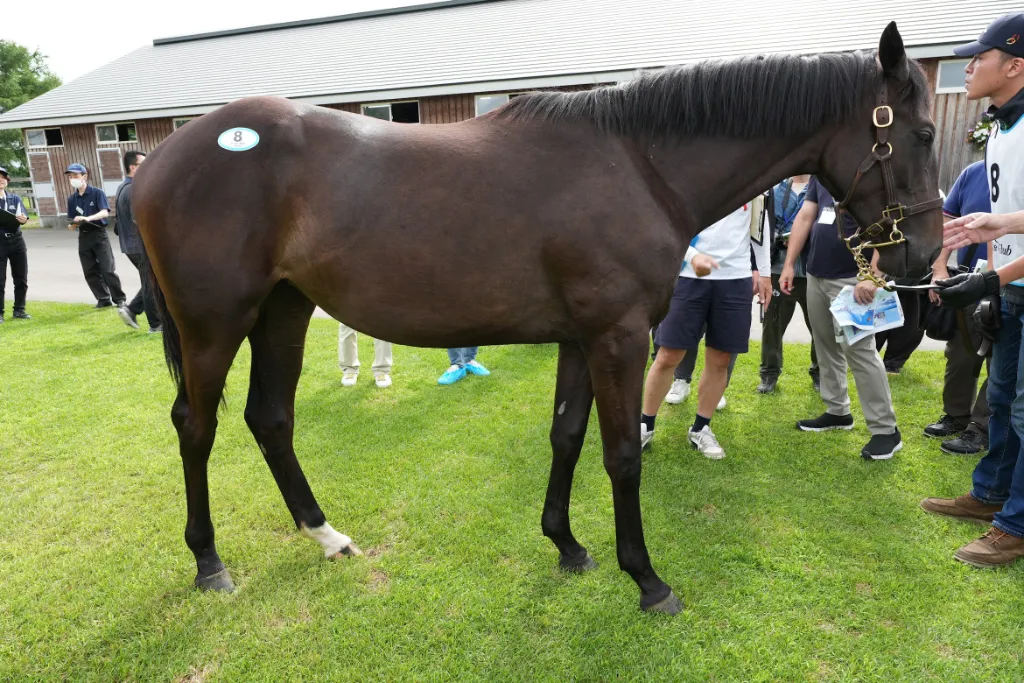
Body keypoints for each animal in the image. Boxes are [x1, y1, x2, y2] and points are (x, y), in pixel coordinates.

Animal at [133, 22, 942, 615]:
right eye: (924, 134)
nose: (928, 253)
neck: (639, 164)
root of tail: (158, 159)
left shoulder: (581, 339)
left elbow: (567, 436)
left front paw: (568, 546)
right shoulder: (619, 337)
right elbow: (621, 453)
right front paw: (647, 579)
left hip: (284, 309)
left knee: (270, 418)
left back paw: (327, 535)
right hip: (214, 324)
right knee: (194, 426)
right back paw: (208, 560)